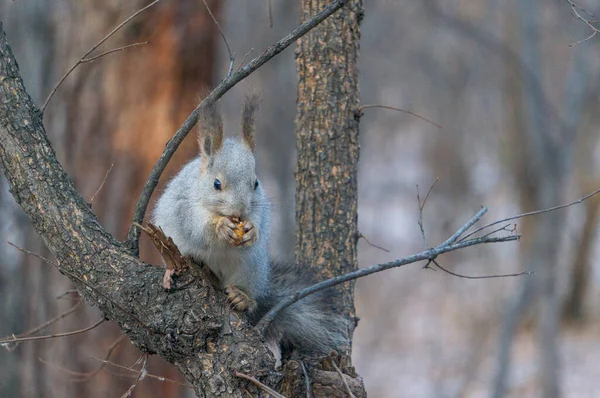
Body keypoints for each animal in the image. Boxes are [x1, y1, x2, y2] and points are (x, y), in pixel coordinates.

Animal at [151, 95, 346, 360]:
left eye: (255, 183)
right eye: (216, 184)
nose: (240, 211)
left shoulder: (261, 206)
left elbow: (260, 221)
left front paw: (252, 230)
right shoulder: (183, 205)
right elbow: (196, 227)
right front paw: (219, 227)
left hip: (252, 266)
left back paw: (243, 297)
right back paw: (174, 271)